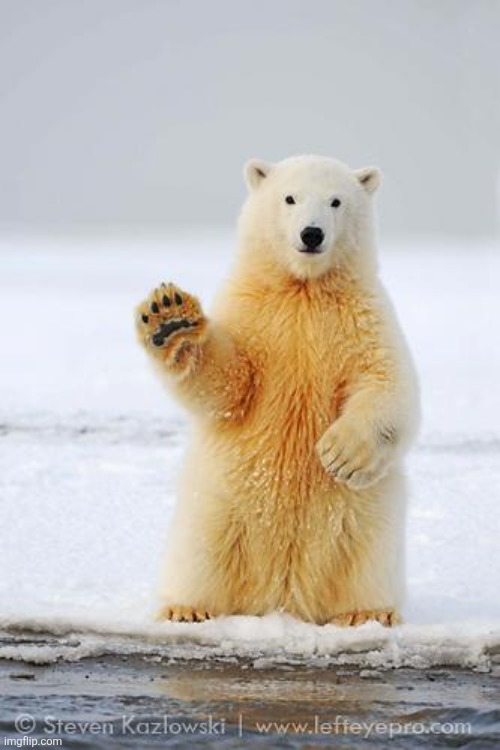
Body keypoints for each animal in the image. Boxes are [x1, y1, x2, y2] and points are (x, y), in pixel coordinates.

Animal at [135, 155, 419, 627]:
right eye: (290, 198)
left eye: (336, 201)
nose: (312, 233)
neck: (304, 288)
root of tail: (283, 597)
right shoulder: (253, 314)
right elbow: (230, 384)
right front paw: (171, 320)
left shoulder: (364, 318)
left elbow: (386, 383)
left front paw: (340, 455)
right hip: (216, 505)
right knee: (200, 552)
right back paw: (186, 607)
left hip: (368, 517)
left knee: (368, 556)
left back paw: (366, 614)